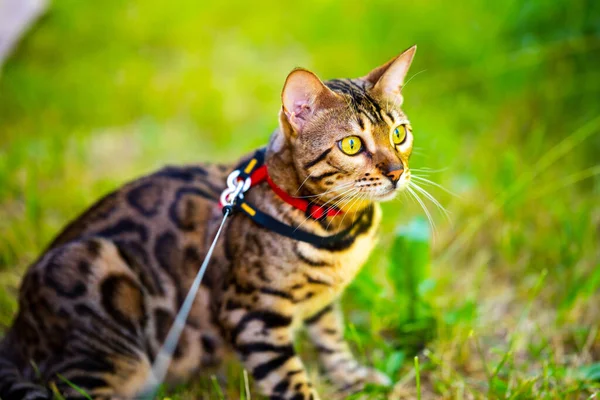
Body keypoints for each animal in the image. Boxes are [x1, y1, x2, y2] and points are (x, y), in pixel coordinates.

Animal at [0, 45, 418, 398]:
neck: (341, 228)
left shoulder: (321, 302)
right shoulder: (252, 316)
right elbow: (293, 383)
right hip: (104, 312)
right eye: (351, 144)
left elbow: (331, 339)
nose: (397, 172)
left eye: (399, 134)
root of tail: (15, 334)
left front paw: (352, 377)